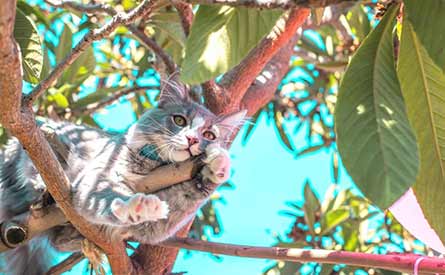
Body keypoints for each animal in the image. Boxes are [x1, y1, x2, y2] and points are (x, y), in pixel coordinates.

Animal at [0, 81, 246, 274]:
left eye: (209, 135)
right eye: (179, 120)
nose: (192, 140)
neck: (154, 166)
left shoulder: (162, 223)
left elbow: (188, 195)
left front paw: (216, 164)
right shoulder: (99, 177)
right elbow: (111, 197)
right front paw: (139, 205)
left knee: (59, 242)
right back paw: (46, 196)